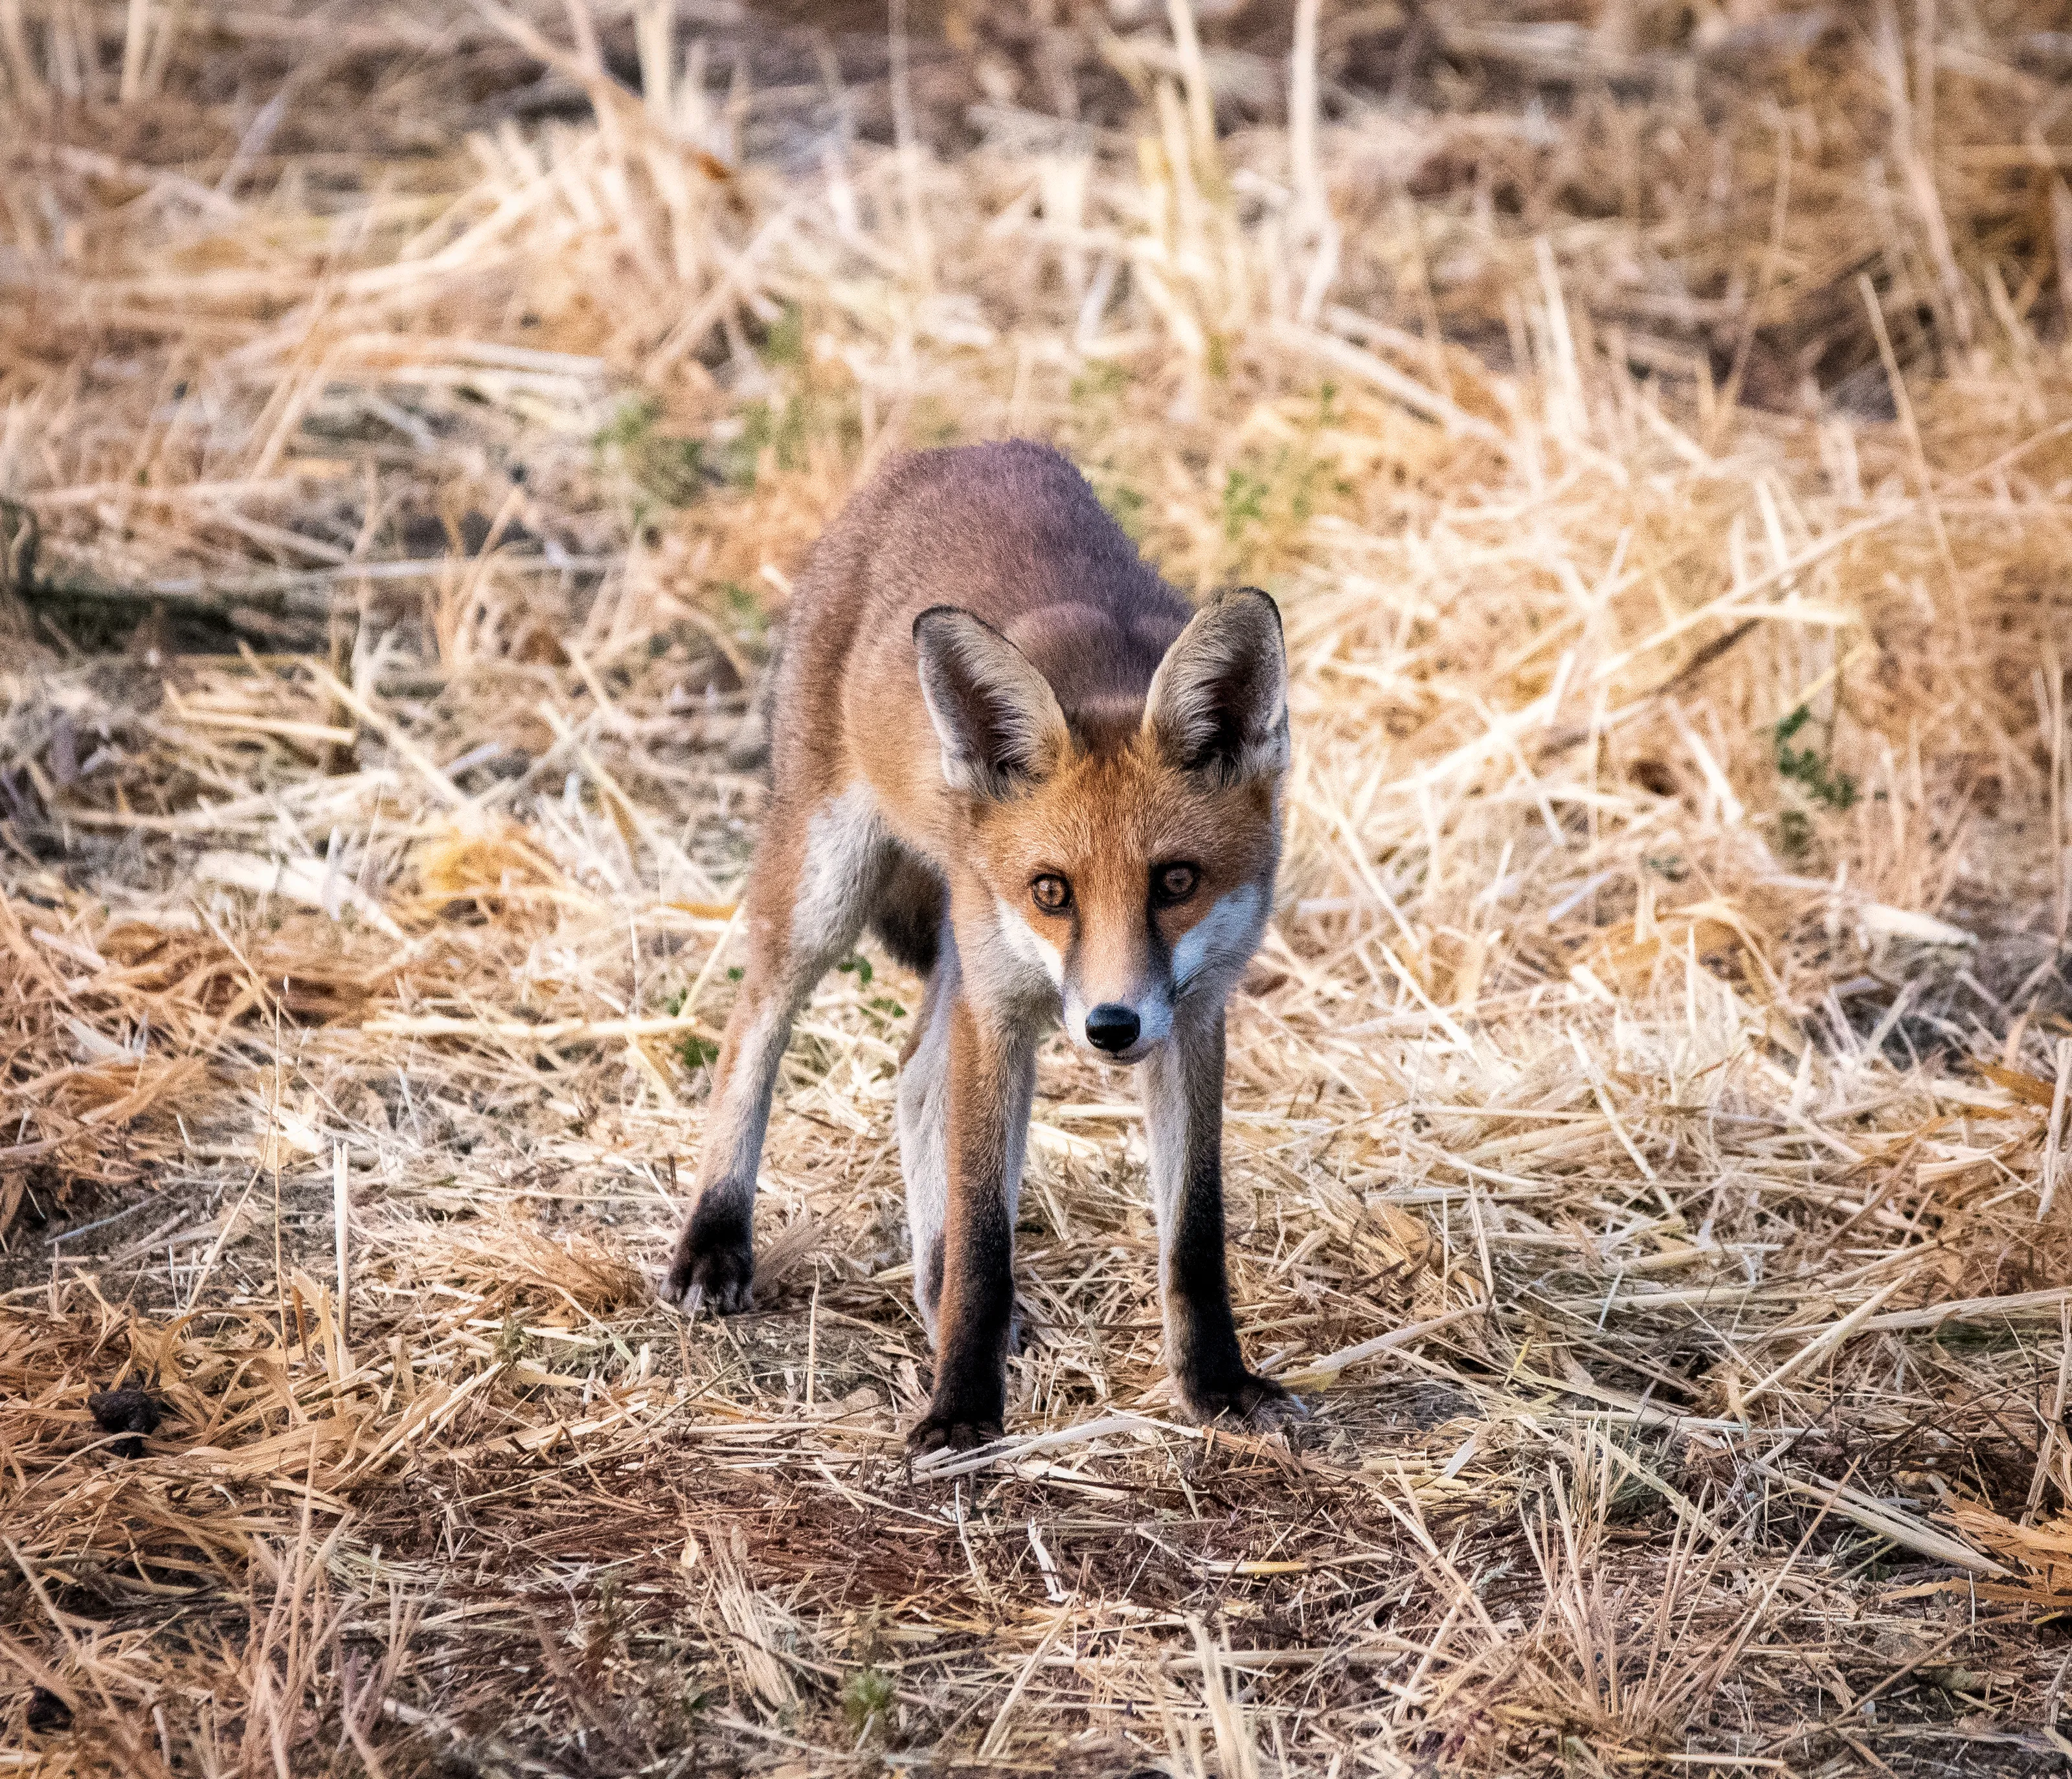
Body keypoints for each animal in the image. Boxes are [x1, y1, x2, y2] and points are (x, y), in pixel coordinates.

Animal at [663, 439, 1305, 1452]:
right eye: (1052, 891)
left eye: (1175, 882)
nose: (1111, 1027)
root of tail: (957, 450)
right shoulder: (1001, 1012)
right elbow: (982, 1237)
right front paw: (960, 1410)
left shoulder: (1195, 1015)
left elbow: (1194, 1235)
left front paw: (1218, 1387)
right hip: (827, 888)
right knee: (751, 1031)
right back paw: (715, 1239)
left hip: (958, 946)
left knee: (913, 1079)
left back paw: (931, 1291)